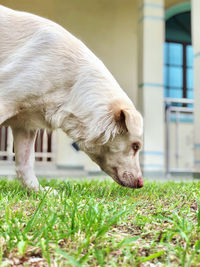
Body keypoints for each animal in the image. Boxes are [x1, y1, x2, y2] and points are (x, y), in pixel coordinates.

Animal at [0, 5, 144, 192]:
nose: (141, 183)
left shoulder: (26, 125)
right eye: (136, 146)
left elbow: (26, 162)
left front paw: (39, 192)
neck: (71, 84)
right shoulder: (5, 100)